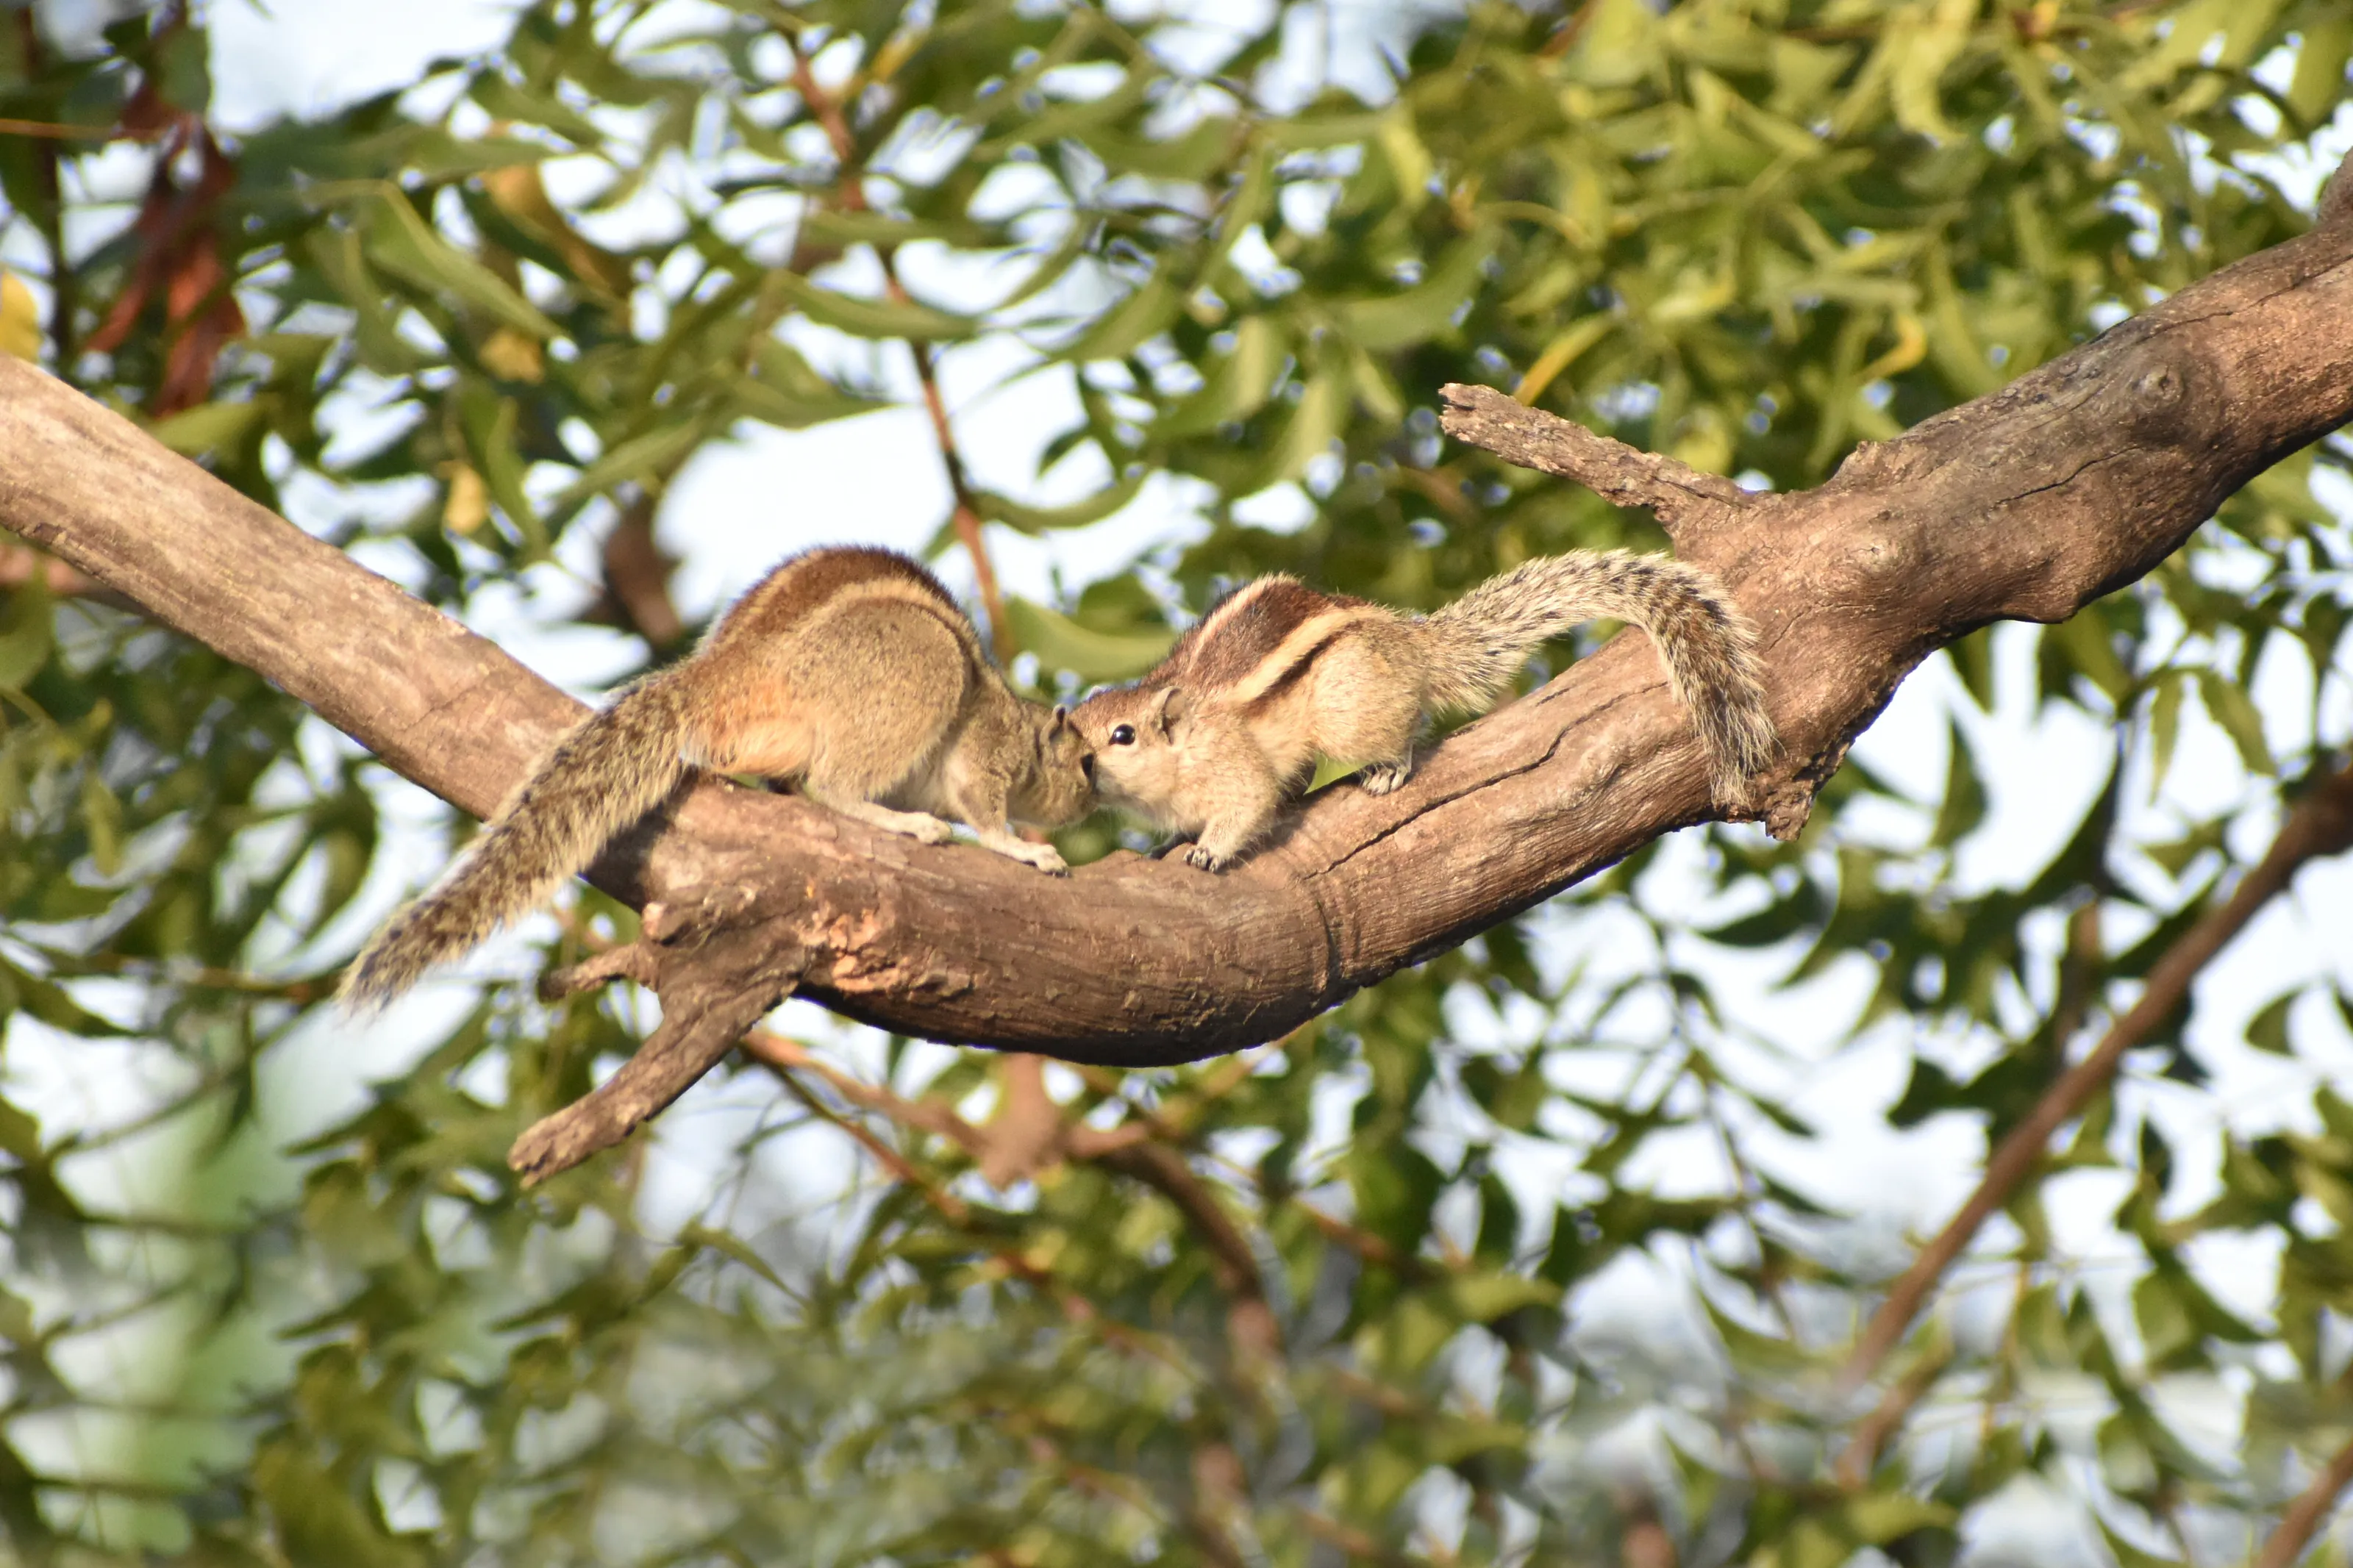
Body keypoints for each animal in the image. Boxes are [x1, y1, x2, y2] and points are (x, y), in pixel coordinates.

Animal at [340, 545, 1096, 1009]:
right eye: (1089, 760)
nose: (1094, 801)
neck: (1023, 722)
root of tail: (732, 671)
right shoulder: (986, 753)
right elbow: (986, 812)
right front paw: (1025, 848)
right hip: (914, 668)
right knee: (836, 784)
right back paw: (901, 820)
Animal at [1066, 550, 1775, 871]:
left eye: (1123, 736)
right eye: (1070, 729)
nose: (1083, 769)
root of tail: (1412, 647)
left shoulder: (1229, 764)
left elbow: (1247, 803)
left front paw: (1207, 853)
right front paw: (1173, 843)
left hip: (1348, 705)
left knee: (1402, 726)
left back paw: (1390, 768)